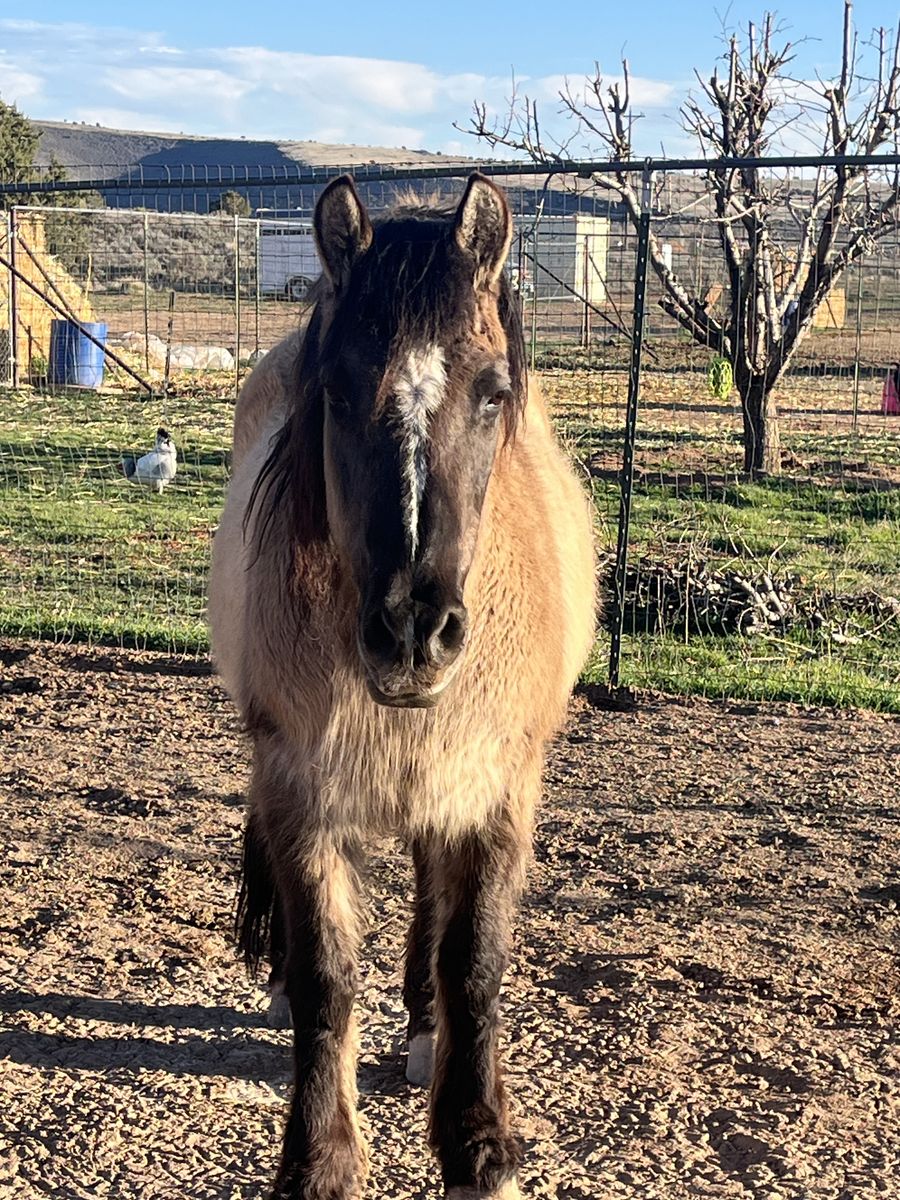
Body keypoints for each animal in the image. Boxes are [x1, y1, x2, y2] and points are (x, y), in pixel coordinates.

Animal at [208, 172, 596, 1200]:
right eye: (339, 391)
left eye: (493, 393)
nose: (414, 631)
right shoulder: (299, 789)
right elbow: (326, 976)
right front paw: (321, 1158)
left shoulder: (498, 792)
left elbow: (475, 961)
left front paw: (477, 1142)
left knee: (432, 907)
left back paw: (424, 1033)